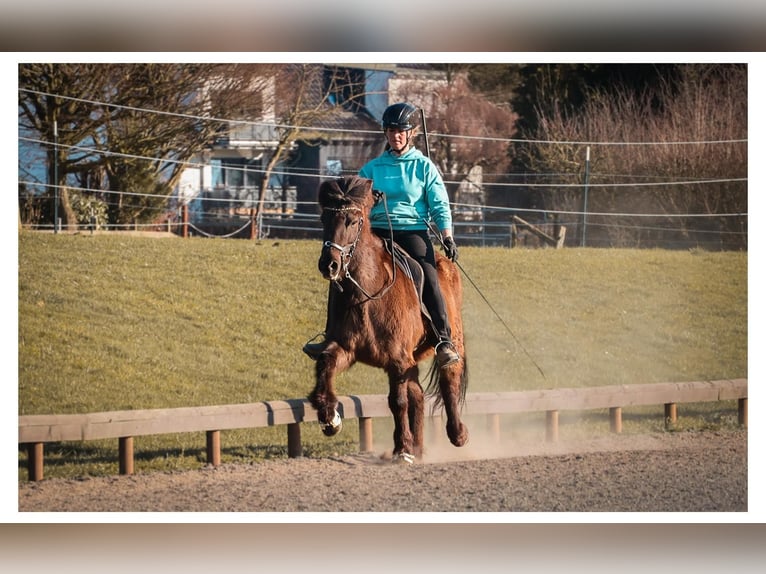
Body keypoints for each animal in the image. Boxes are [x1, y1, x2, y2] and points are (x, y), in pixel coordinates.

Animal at [307, 175, 469, 463]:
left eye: (352, 221)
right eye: (324, 219)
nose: (329, 264)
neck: (367, 293)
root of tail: (444, 262)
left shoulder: (397, 359)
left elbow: (397, 402)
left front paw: (402, 448)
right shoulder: (347, 349)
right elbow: (325, 364)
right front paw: (329, 418)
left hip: (451, 339)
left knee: (449, 377)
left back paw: (457, 434)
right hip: (411, 360)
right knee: (418, 394)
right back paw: (418, 447)